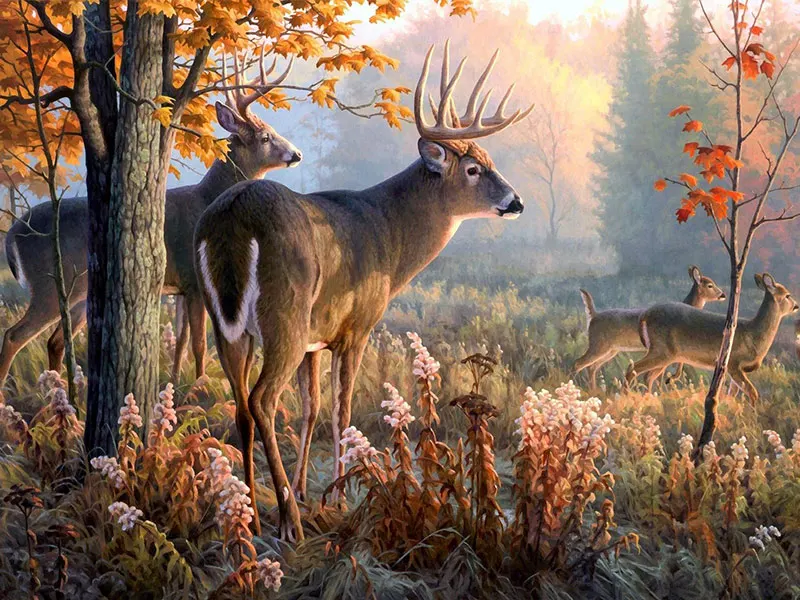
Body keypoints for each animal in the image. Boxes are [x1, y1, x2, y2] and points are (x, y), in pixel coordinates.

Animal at [1, 50, 301, 390]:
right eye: (265, 137)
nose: (296, 154)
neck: (208, 198)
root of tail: (11, 234)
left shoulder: (180, 286)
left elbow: (181, 342)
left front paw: (177, 384)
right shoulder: (194, 280)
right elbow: (199, 342)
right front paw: (199, 386)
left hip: (78, 293)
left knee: (53, 341)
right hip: (49, 283)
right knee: (14, 336)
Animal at [193, 41, 533, 541]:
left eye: (492, 163)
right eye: (473, 169)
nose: (516, 202)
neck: (388, 238)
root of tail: (234, 218)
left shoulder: (317, 338)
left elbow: (312, 407)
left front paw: (310, 492)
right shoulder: (356, 328)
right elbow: (342, 410)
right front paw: (338, 497)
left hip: (230, 326)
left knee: (241, 405)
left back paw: (252, 513)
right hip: (284, 313)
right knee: (262, 400)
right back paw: (288, 522)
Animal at [574, 265, 726, 389]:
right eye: (710, 285)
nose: (723, 295)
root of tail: (593, 316)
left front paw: (668, 382)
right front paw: (666, 384)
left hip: (611, 350)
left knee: (592, 367)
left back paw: (594, 390)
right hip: (599, 345)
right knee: (579, 363)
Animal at [625, 272, 798, 404]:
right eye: (787, 295)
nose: (797, 306)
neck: (753, 335)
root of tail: (645, 315)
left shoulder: (736, 370)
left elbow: (732, 395)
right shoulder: (733, 363)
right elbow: (752, 392)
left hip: (666, 355)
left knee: (648, 375)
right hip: (661, 350)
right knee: (633, 369)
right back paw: (625, 398)